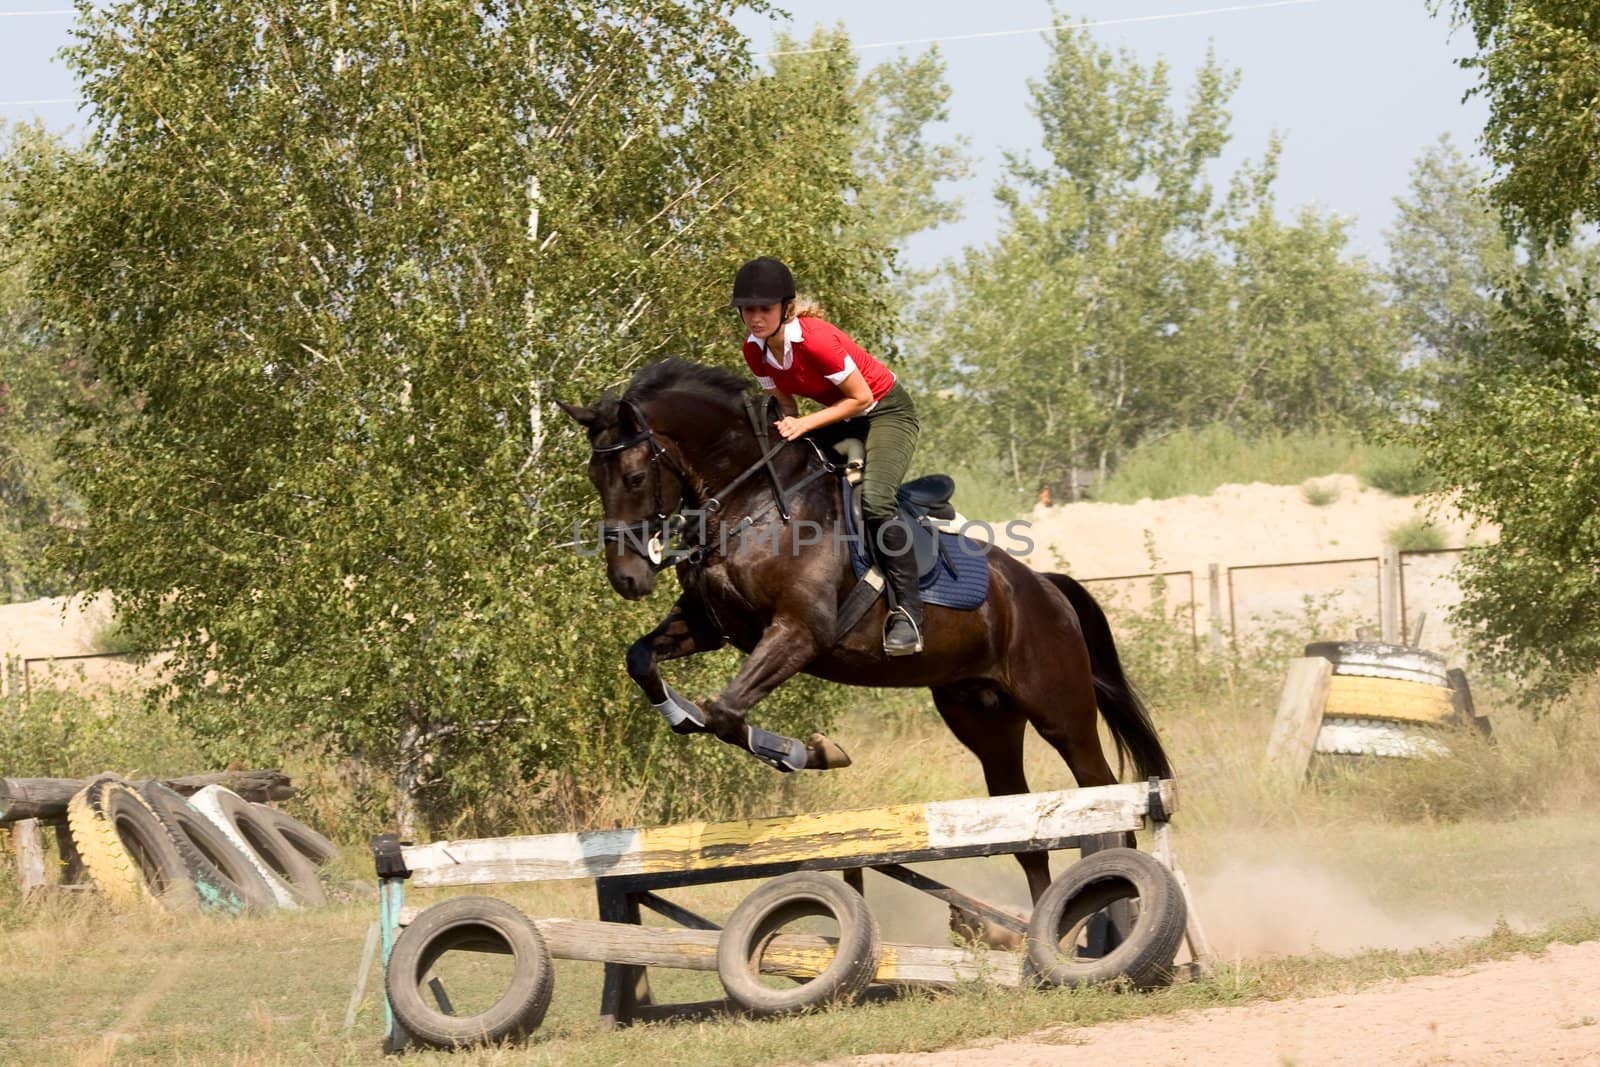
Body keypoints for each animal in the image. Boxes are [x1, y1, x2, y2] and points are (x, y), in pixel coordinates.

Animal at [556, 358, 1171, 902]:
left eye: (635, 476)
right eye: (593, 478)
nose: (627, 578)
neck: (751, 505)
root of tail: (1045, 587)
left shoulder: (800, 632)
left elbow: (726, 712)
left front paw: (806, 753)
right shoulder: (712, 626)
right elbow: (645, 663)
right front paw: (682, 714)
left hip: (1061, 712)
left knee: (1107, 800)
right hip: (985, 722)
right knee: (1019, 827)